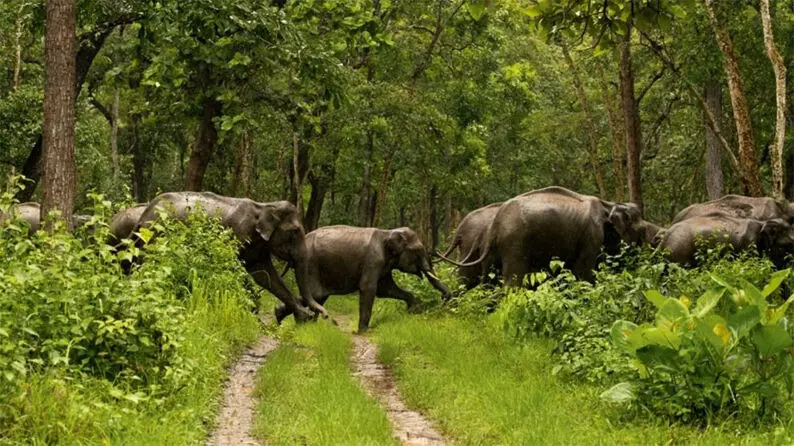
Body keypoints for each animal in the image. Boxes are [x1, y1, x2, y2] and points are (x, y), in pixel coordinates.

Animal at [135, 191, 326, 320]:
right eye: (295, 232)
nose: (322, 315)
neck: (264, 206)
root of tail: (146, 212)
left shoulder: (259, 248)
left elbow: (266, 276)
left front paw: (302, 315)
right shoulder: (237, 235)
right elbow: (236, 269)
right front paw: (253, 313)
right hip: (155, 236)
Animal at [274, 226, 448, 332]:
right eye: (417, 250)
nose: (445, 297)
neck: (387, 232)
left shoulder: (383, 266)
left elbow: (386, 290)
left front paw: (412, 309)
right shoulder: (373, 260)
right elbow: (369, 289)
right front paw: (363, 331)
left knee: (317, 297)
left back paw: (286, 318)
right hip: (310, 266)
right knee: (315, 295)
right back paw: (298, 321)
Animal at [436, 186, 660, 284]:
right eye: (641, 230)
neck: (609, 204)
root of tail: (495, 224)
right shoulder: (591, 237)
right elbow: (583, 272)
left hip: (493, 249)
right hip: (515, 244)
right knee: (512, 279)